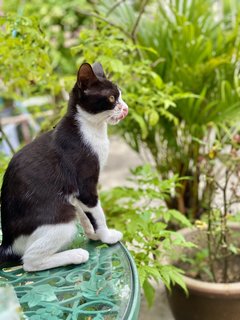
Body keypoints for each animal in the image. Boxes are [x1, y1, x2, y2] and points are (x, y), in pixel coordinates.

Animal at [0, 63, 128, 272]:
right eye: (111, 98)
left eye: (121, 95)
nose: (125, 107)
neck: (90, 129)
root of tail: (8, 243)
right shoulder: (85, 183)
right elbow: (97, 212)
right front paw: (107, 236)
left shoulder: (73, 191)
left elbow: (85, 214)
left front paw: (92, 233)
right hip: (62, 217)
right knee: (29, 262)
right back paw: (76, 255)